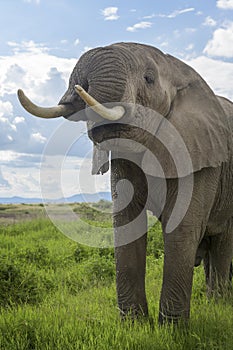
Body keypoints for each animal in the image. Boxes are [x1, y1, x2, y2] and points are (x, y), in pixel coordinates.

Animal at [17, 42, 233, 324]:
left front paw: (171, 329)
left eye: (149, 79)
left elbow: (182, 226)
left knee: (222, 243)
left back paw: (218, 305)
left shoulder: (200, 153)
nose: (81, 86)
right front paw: (134, 325)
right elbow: (126, 223)